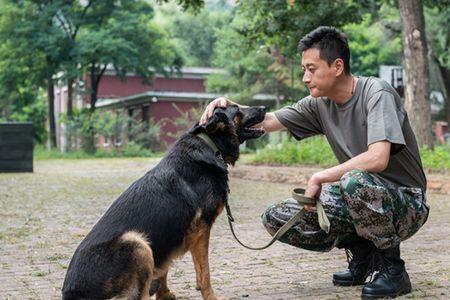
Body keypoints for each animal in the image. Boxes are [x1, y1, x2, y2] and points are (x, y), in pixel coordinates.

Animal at [61, 104, 266, 298]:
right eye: (237, 108)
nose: (265, 108)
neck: (210, 145)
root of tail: (71, 292)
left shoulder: (172, 235)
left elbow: (168, 266)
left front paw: (164, 293)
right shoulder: (201, 230)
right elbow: (204, 273)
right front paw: (210, 296)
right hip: (137, 242)